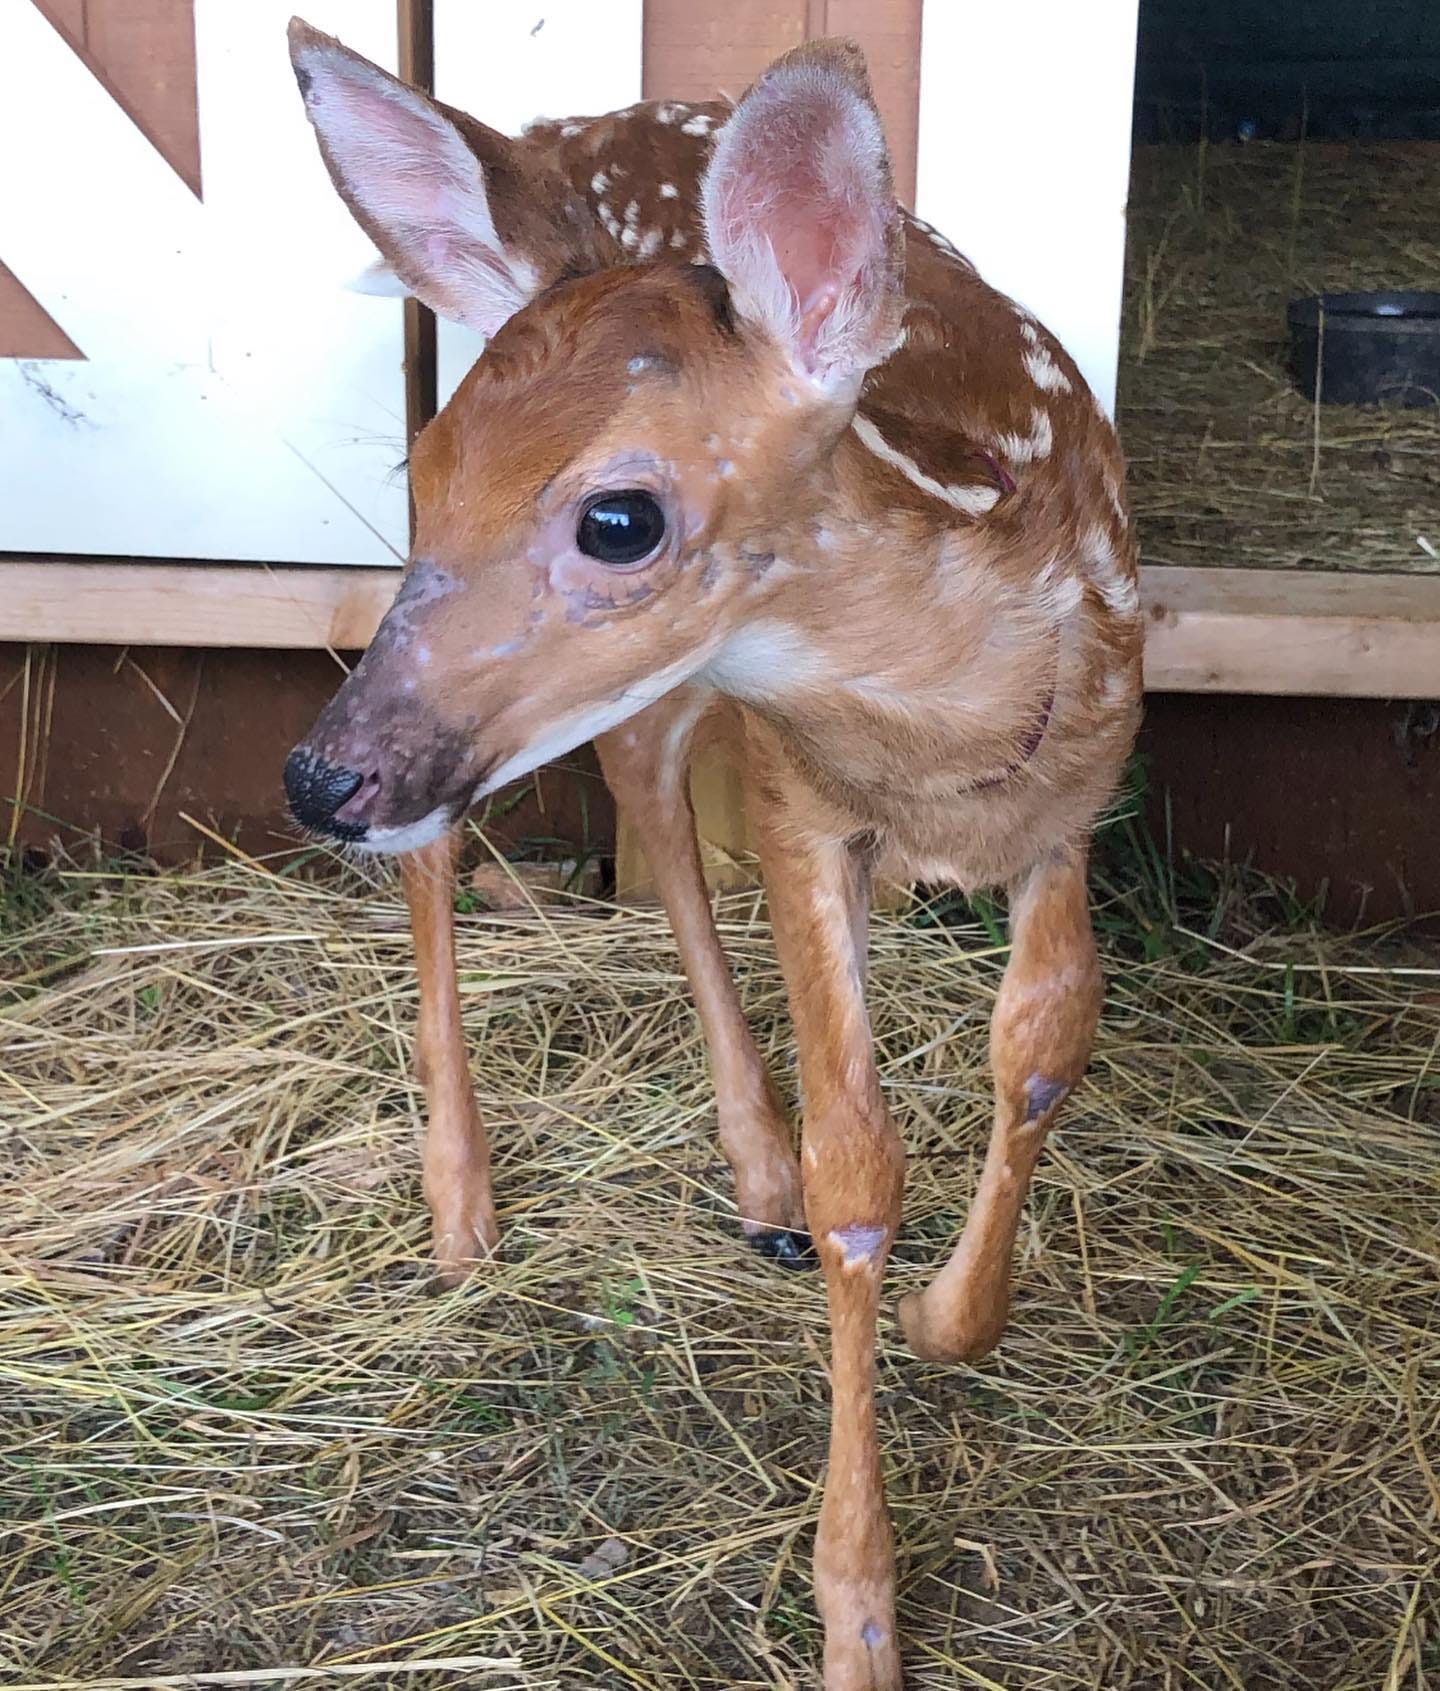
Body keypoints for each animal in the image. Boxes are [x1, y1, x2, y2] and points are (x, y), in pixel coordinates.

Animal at [278, 19, 1135, 1684]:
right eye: (428, 473)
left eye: (619, 516)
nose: (316, 779)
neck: (946, 738)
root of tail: (570, 132)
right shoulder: (807, 801)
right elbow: (862, 1156)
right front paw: (860, 1611)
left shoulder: (1070, 801)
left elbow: (1046, 1044)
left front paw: (955, 1319)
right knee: (456, 836)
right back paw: (464, 1209)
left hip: (653, 686)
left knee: (641, 775)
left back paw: (749, 1170)